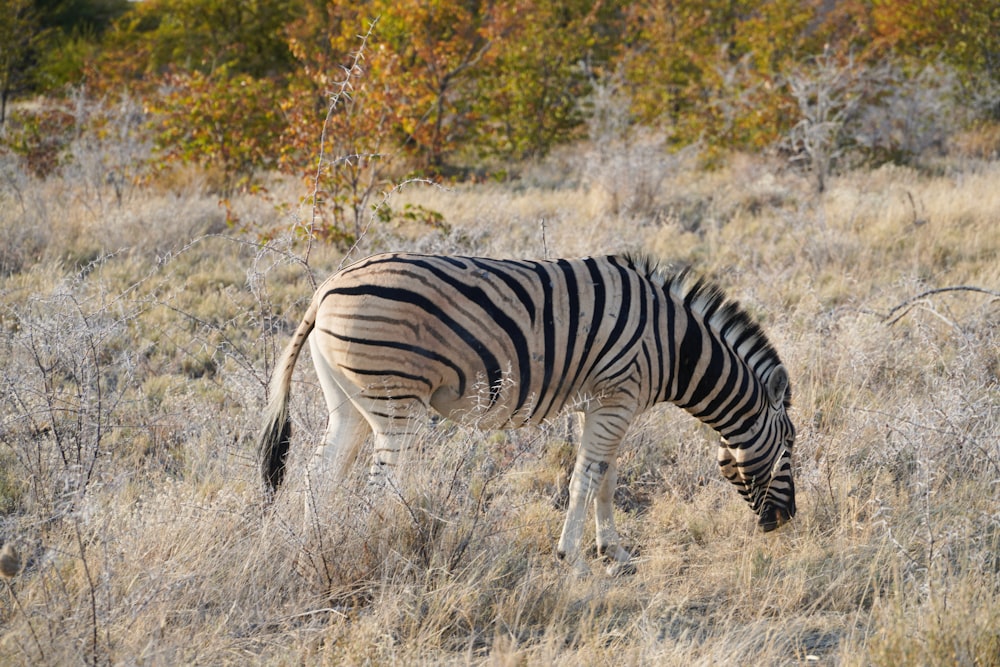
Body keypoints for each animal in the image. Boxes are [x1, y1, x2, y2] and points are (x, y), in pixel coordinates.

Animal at [260, 254, 796, 576]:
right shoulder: (618, 396)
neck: (676, 345)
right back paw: (375, 555)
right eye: (790, 449)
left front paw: (614, 552)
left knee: (317, 474)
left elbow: (606, 476)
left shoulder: (597, 401)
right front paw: (574, 559)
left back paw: (315, 550)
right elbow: (587, 476)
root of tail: (326, 288)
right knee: (380, 488)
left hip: (347, 404)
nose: (785, 522)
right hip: (397, 404)